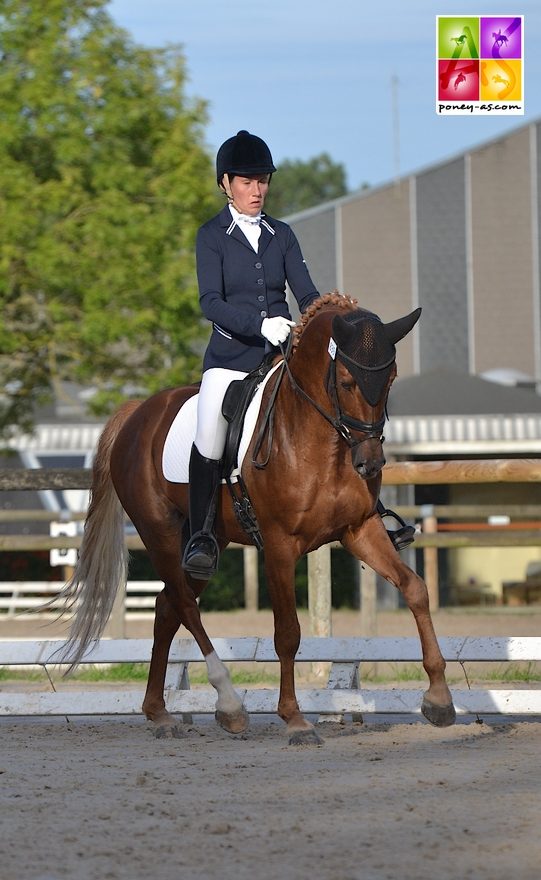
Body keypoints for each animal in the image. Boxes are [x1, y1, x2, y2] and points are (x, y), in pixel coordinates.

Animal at [57, 296, 456, 744]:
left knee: (167, 607)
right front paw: (294, 719)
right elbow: (288, 633)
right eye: (347, 382)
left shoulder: (359, 530)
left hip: (206, 542)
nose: (369, 464)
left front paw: (439, 698)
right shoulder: (280, 545)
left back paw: (159, 713)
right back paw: (229, 704)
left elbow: (415, 589)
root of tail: (137, 413)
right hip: (159, 532)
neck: (320, 439)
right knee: (185, 606)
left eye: (389, 379)